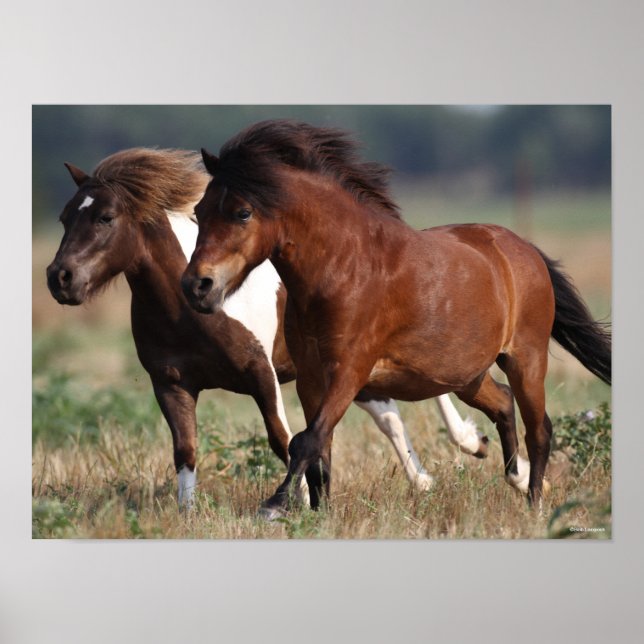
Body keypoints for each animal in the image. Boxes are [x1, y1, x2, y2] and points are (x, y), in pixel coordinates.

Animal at [45, 147, 487, 510]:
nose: (60, 278)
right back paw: (424, 481)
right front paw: (188, 514)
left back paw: (469, 443)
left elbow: (282, 438)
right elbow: (185, 450)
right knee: (388, 414)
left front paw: (296, 501)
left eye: (105, 217)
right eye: (65, 217)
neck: (188, 311)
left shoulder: (261, 374)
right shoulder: (170, 383)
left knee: (427, 389)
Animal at [181, 120, 611, 516]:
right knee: (504, 403)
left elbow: (306, 440)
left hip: (526, 359)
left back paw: (535, 503)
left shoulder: (350, 371)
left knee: (540, 429)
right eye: (199, 212)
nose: (196, 286)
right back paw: (515, 478)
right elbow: (320, 449)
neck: (344, 268)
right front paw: (318, 515)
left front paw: (274, 505)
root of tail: (525, 250)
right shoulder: (311, 378)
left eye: (242, 212)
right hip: (466, 376)